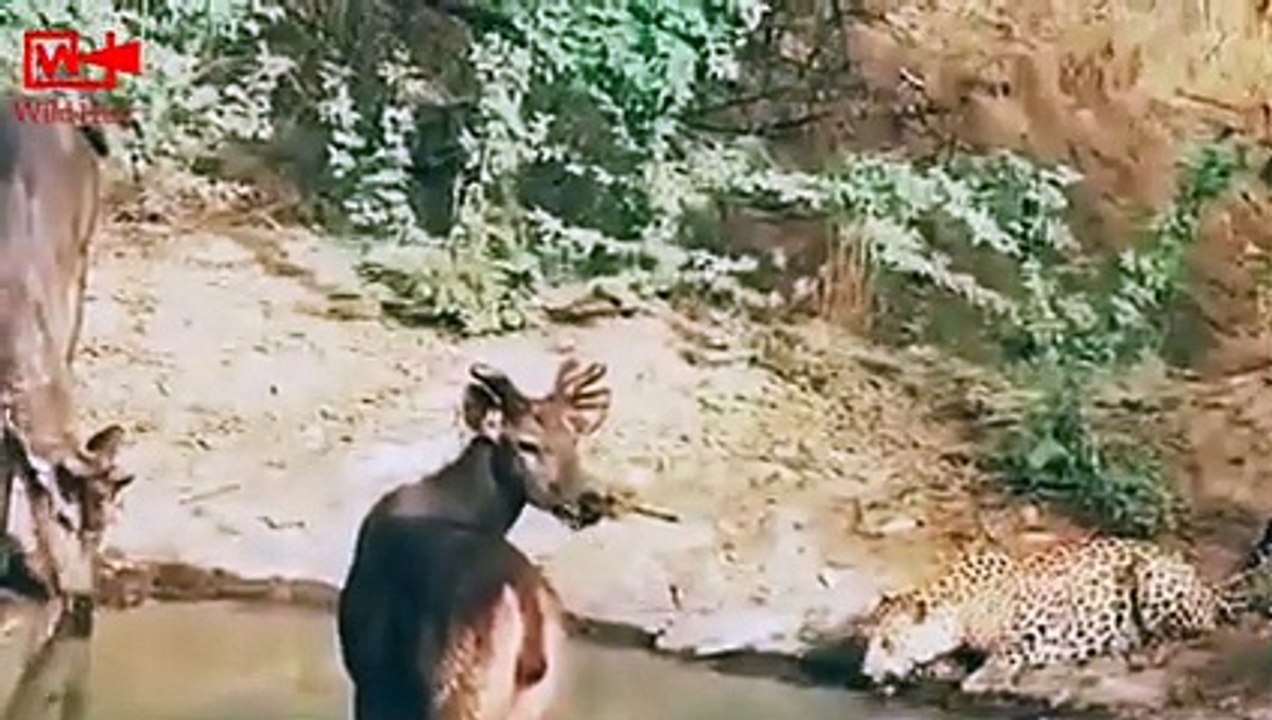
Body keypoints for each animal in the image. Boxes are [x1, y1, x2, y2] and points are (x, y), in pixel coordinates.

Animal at [860, 518, 1272, 695]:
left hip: (1152, 576)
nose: (864, 674)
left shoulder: (1044, 625)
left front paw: (980, 678)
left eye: (887, 642)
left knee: (1200, 628)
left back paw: (1146, 649)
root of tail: (1205, 584)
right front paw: (938, 667)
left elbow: (1005, 653)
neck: (959, 609)